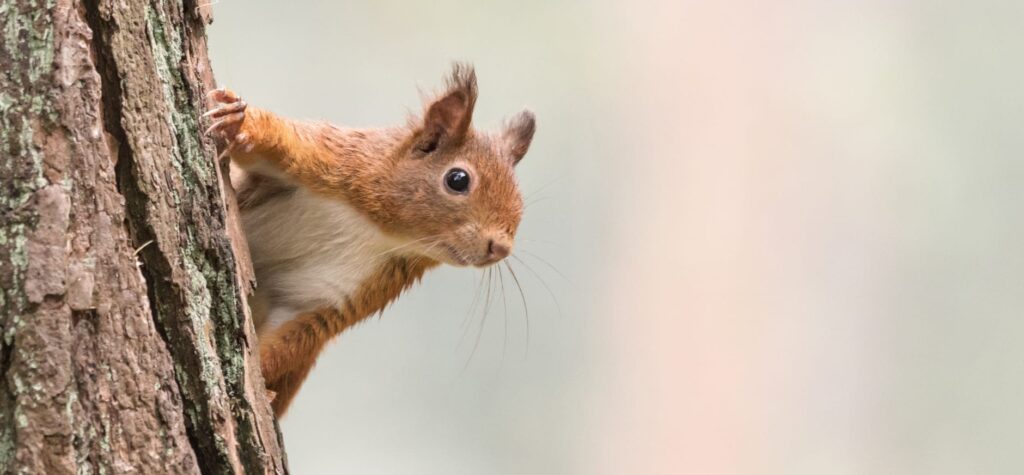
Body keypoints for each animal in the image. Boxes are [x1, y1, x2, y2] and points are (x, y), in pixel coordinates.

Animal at [200, 63, 536, 415]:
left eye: (521, 201)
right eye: (458, 179)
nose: (501, 248)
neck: (380, 230)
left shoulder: (347, 291)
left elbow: (292, 338)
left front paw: (259, 381)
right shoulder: (336, 160)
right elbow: (278, 142)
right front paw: (238, 120)